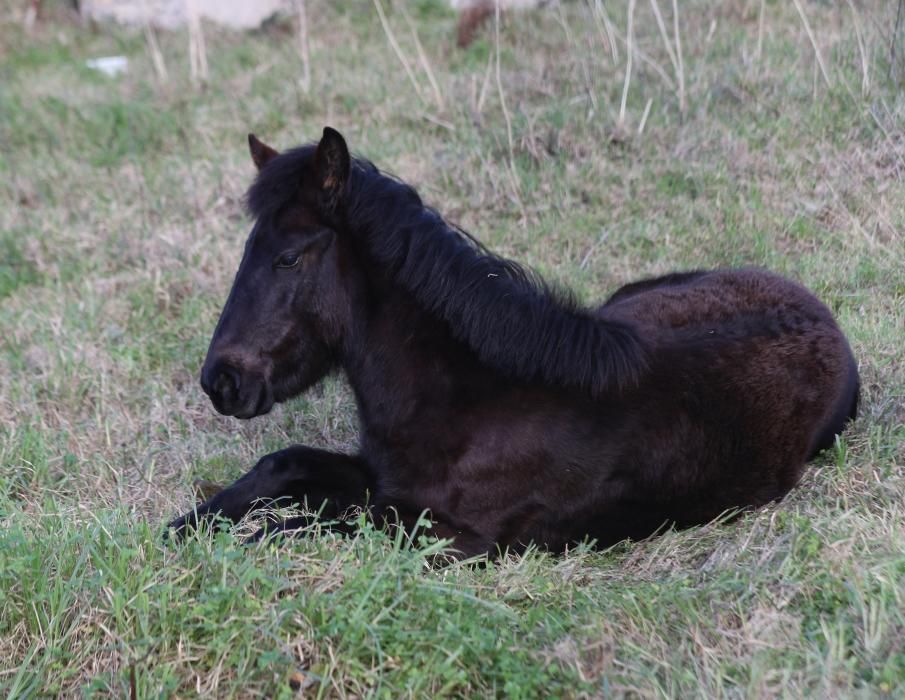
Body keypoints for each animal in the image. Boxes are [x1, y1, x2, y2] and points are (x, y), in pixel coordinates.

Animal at [164, 124, 860, 552]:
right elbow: (284, 465)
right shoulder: (380, 479)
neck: (467, 398)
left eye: (288, 258)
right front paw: (181, 528)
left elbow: (300, 527)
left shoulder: (446, 534)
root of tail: (825, 319)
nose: (221, 381)